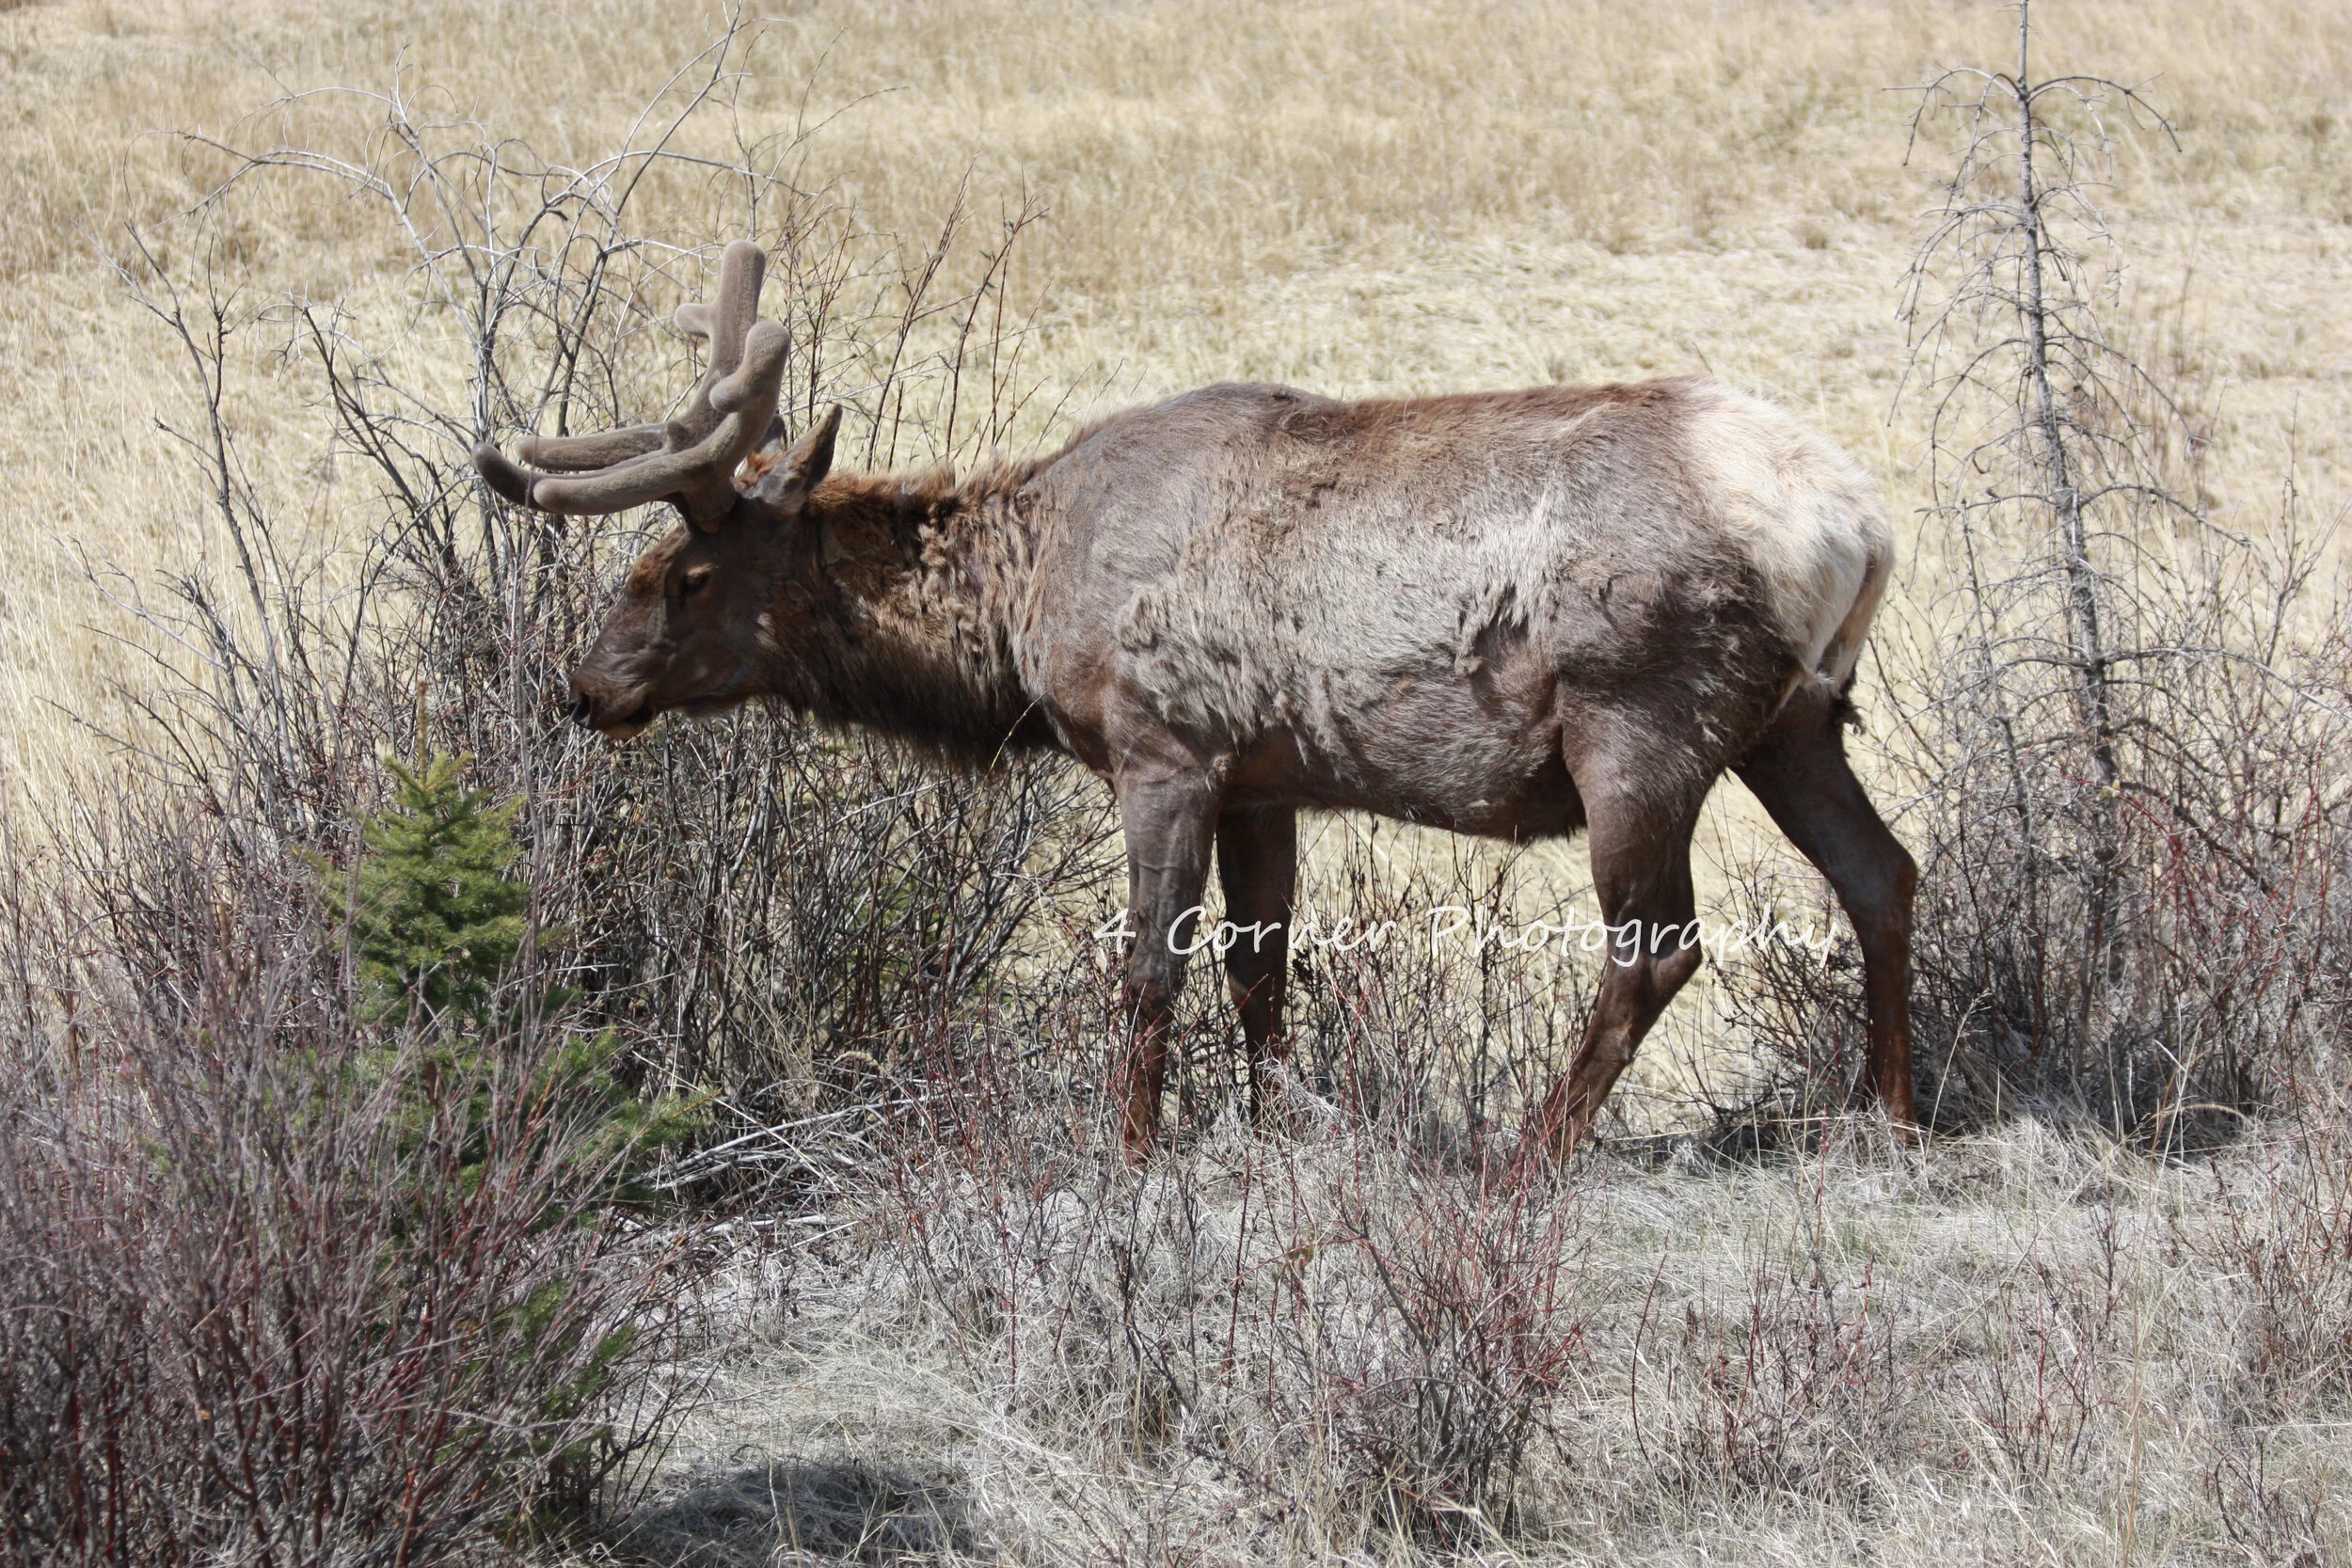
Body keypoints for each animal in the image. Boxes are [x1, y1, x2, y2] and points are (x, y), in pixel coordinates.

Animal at [475, 240, 1917, 1161]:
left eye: (684, 573)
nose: (582, 685)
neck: (1024, 603)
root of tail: (1856, 522)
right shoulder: (1264, 775)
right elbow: (1258, 969)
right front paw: (1277, 1130)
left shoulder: (1163, 745)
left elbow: (1148, 968)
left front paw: (1130, 1153)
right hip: (1794, 719)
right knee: (1881, 871)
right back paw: (1889, 1114)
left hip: (1640, 719)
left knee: (1657, 944)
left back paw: (1532, 1153)